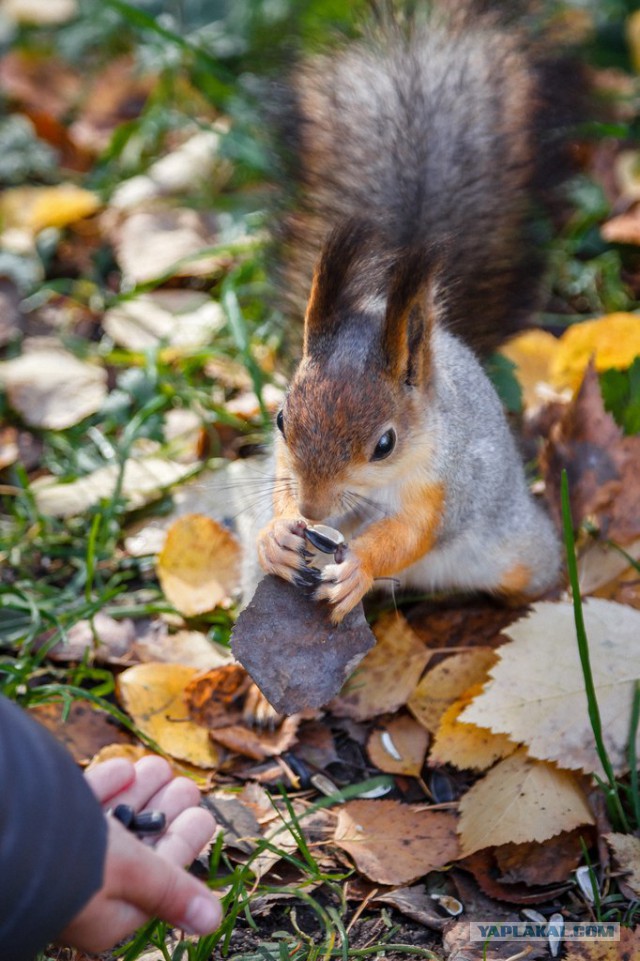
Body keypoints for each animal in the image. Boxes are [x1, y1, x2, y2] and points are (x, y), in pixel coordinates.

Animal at [256, 0, 580, 624]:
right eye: (281, 419)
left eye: (385, 444)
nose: (314, 510)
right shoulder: (284, 462)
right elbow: (281, 485)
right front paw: (279, 534)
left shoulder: (444, 482)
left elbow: (410, 532)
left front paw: (358, 567)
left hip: (518, 549)